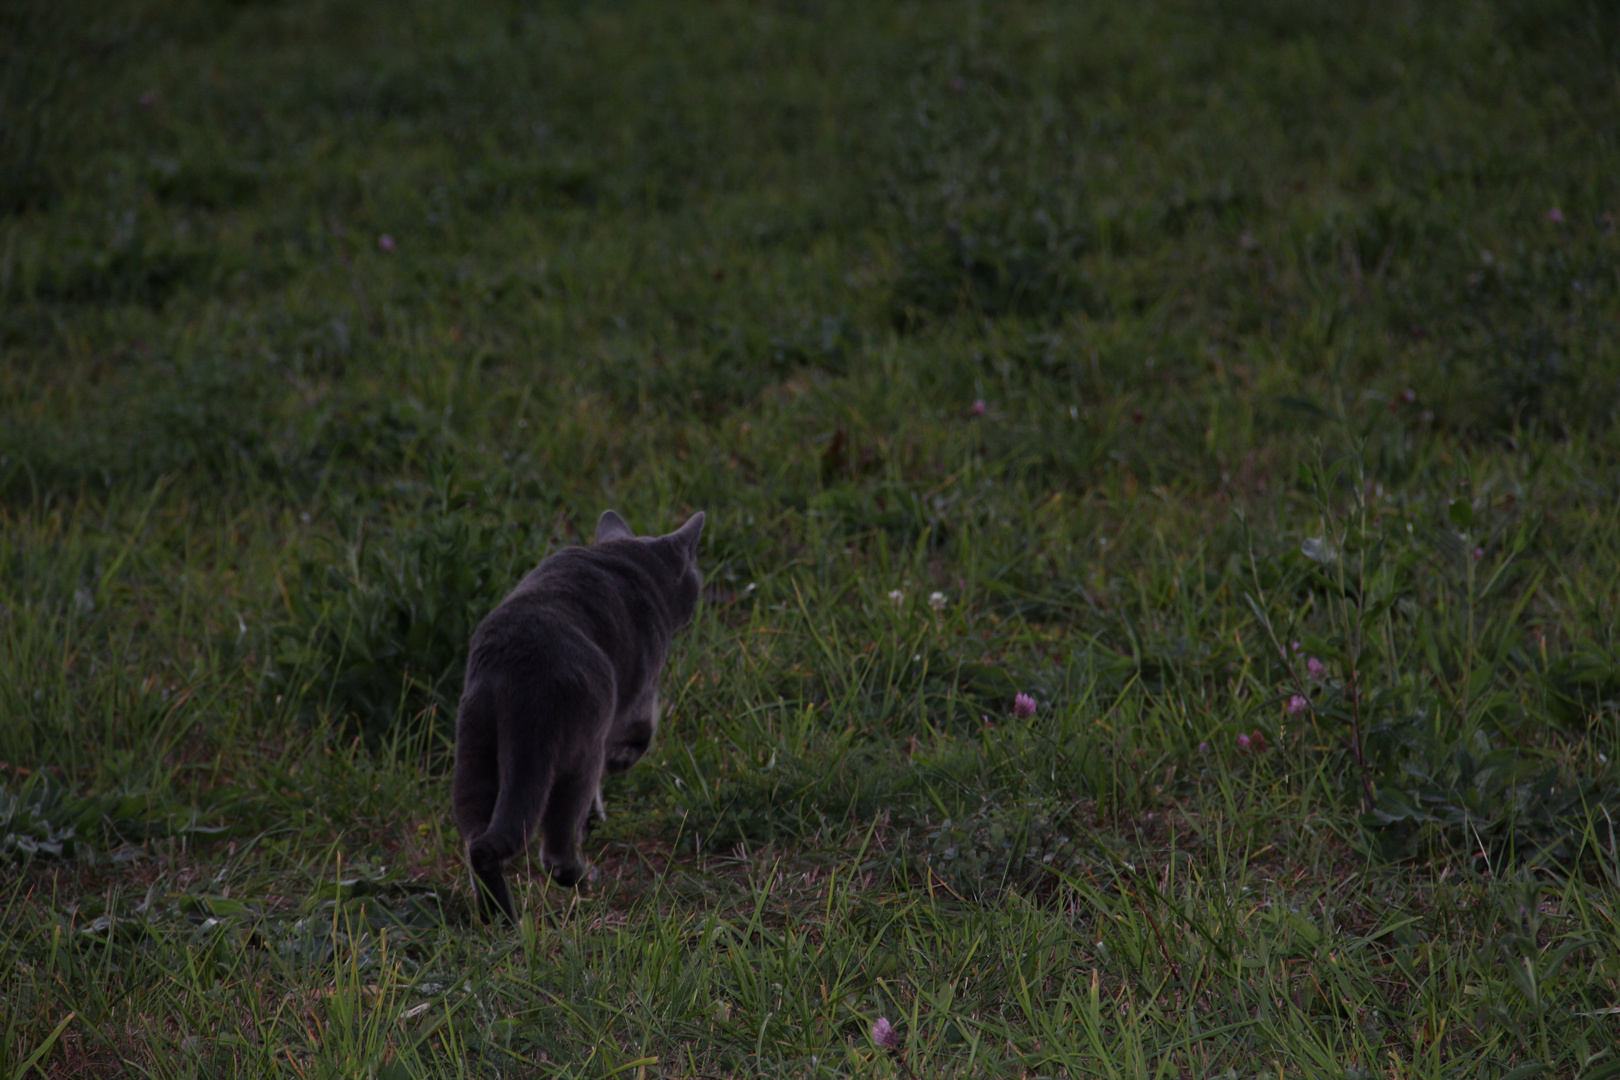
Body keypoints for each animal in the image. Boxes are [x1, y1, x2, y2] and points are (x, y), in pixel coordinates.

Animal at [456, 511, 709, 926]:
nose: (698, 592)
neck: (628, 560)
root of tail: (522, 676)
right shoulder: (639, 696)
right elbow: (642, 735)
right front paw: (616, 774)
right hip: (577, 750)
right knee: (554, 846)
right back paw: (582, 876)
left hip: (475, 749)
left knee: (476, 841)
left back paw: (500, 919)